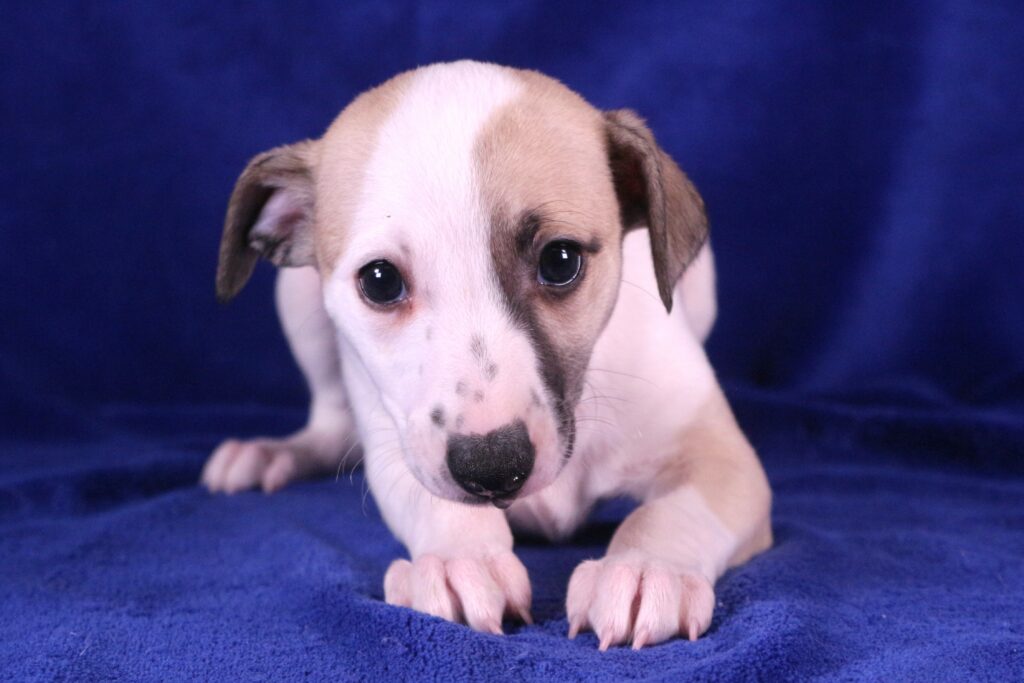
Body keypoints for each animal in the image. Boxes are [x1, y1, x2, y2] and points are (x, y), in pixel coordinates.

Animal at [202, 60, 772, 650]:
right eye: (380, 281)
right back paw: (276, 452)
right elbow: (428, 495)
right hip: (298, 301)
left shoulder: (720, 455)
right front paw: (462, 558)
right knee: (331, 423)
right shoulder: (398, 437)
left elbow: (674, 511)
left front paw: (647, 568)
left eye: (560, 260)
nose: (493, 468)